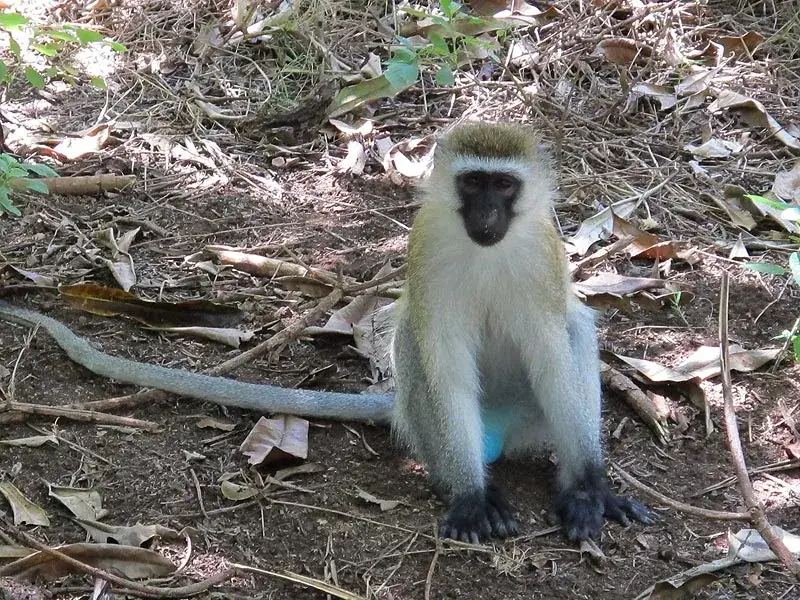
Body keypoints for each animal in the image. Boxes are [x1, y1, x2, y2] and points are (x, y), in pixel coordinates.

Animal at [0, 122, 653, 544]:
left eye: (504, 186)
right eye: (473, 185)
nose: (488, 217)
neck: (486, 248)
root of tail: (499, 431)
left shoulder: (543, 251)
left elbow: (550, 344)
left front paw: (591, 490)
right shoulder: (427, 246)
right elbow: (439, 351)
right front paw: (472, 498)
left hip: (530, 418)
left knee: (573, 327)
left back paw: (580, 485)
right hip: (429, 425)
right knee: (416, 346)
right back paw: (461, 481)